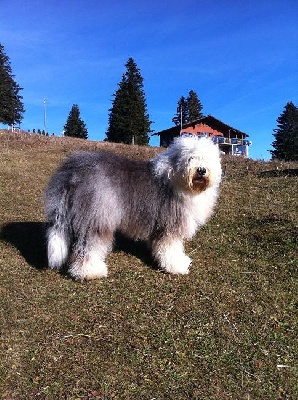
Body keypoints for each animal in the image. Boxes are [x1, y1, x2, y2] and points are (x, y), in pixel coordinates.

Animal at [43, 136, 221, 280]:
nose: (201, 170)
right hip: (97, 217)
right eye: (191, 158)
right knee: (87, 247)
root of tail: (73, 170)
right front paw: (177, 266)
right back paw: (90, 272)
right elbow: (171, 249)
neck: (178, 180)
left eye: (206, 158)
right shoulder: (170, 225)